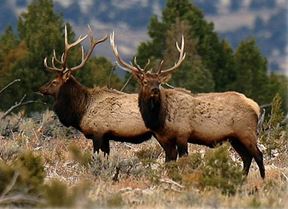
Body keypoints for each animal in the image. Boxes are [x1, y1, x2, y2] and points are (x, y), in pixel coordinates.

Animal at [110, 32, 266, 178]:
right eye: (145, 82)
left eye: (159, 82)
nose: (155, 90)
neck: (159, 120)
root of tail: (256, 106)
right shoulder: (163, 138)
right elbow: (169, 161)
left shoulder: (183, 133)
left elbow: (183, 159)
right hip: (235, 138)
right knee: (247, 157)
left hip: (246, 131)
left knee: (258, 155)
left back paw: (263, 180)